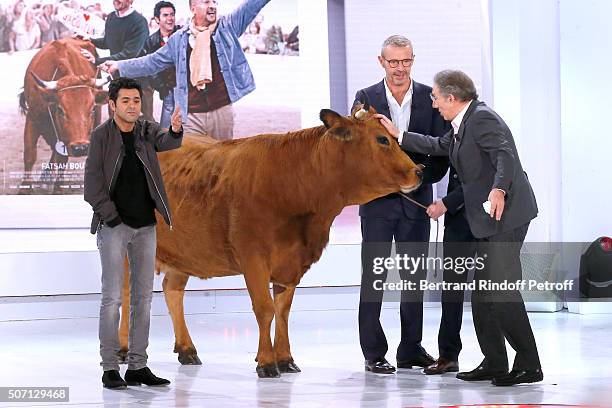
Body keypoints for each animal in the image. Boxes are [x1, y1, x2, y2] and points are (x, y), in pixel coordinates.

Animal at [19, 38, 107, 177]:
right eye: (61, 110)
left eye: (92, 109)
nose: (80, 148)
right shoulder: (32, 119)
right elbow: (29, 156)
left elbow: (61, 160)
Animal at [121, 107, 424, 378]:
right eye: (382, 139)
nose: (419, 171)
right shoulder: (253, 258)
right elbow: (265, 309)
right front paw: (266, 362)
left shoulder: (291, 263)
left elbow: (283, 311)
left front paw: (286, 358)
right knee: (125, 293)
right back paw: (123, 349)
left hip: (184, 251)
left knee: (172, 290)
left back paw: (187, 349)